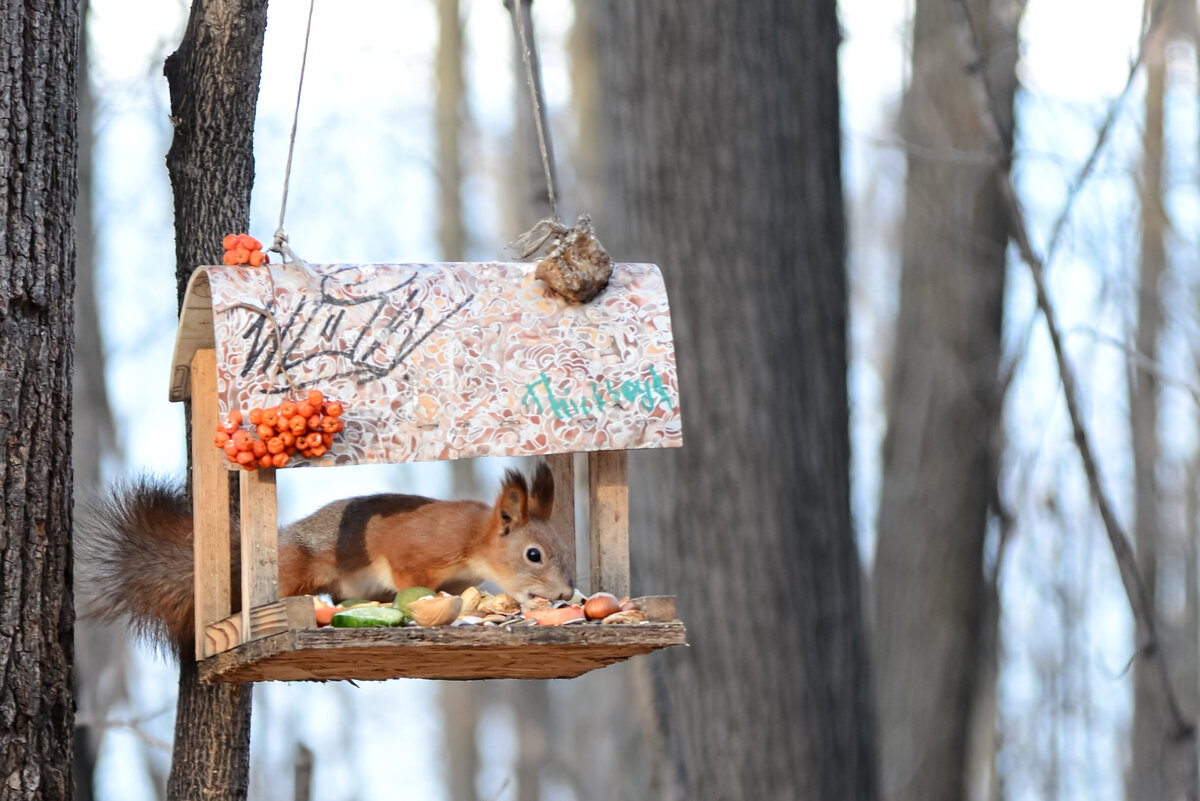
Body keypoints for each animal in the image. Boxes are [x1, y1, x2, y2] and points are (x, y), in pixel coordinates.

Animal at [77, 462, 573, 657]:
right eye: (533, 555)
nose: (567, 593)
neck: (473, 542)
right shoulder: (415, 550)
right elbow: (410, 578)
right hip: (297, 568)